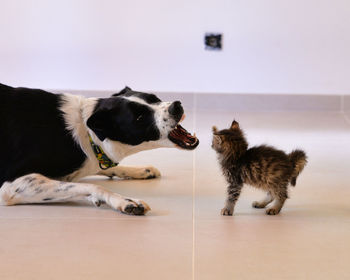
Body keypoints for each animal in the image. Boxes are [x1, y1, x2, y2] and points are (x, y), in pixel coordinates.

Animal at [0, 84, 200, 215]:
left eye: (154, 98)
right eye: (139, 117)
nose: (176, 106)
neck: (87, 130)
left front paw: (140, 170)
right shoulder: (11, 186)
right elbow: (93, 185)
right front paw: (124, 200)